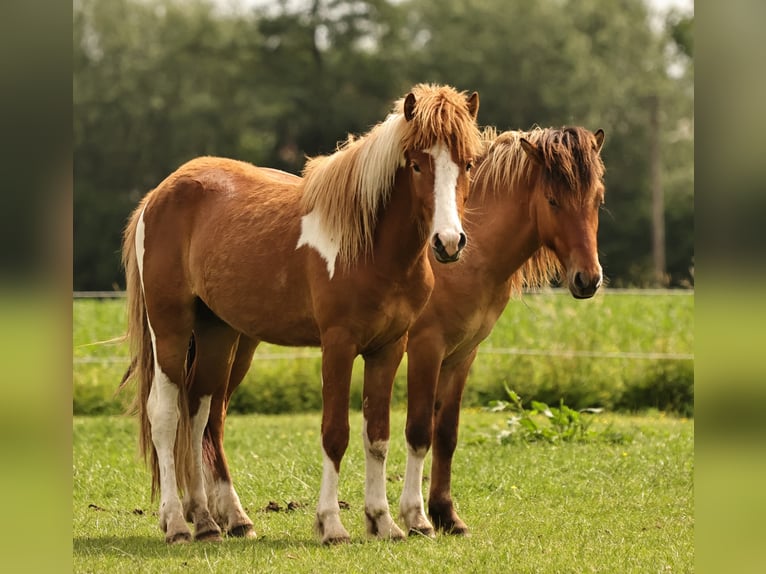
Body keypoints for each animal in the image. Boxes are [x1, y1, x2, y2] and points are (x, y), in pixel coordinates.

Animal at [120, 84, 482, 544]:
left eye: (467, 163)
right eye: (417, 164)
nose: (448, 242)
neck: (370, 247)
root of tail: (156, 197)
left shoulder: (388, 348)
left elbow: (377, 435)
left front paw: (383, 522)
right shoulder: (338, 344)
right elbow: (335, 433)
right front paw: (332, 525)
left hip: (216, 332)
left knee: (198, 414)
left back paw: (209, 521)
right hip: (169, 328)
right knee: (165, 416)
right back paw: (177, 524)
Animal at [397, 126, 606, 536]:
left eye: (598, 199)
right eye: (552, 200)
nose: (587, 279)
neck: (462, 255)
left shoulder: (462, 354)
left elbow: (446, 432)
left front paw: (446, 514)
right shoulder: (426, 350)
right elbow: (419, 429)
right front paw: (418, 519)